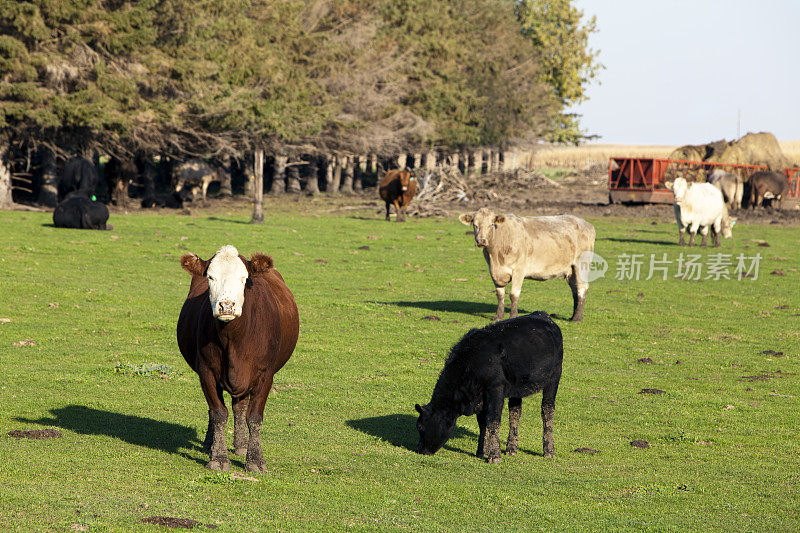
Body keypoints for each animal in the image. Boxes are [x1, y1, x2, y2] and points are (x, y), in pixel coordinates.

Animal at [416, 312, 564, 462]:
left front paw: (494, 456)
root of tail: (542, 315)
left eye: (421, 427)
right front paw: (482, 451)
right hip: (517, 387)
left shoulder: (495, 388)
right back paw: (511, 448)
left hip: (554, 377)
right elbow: (483, 422)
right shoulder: (481, 395)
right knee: (515, 412)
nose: (419, 450)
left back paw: (549, 451)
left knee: (547, 410)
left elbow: (493, 420)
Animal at [460, 209, 596, 322]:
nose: (481, 241)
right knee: (575, 290)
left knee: (582, 288)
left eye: (491, 224)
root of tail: (585, 223)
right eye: (475, 224)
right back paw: (573, 316)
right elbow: (500, 294)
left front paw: (513, 316)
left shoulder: (519, 270)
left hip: (582, 264)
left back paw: (577, 318)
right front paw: (498, 316)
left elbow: (514, 294)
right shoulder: (493, 272)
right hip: (571, 269)